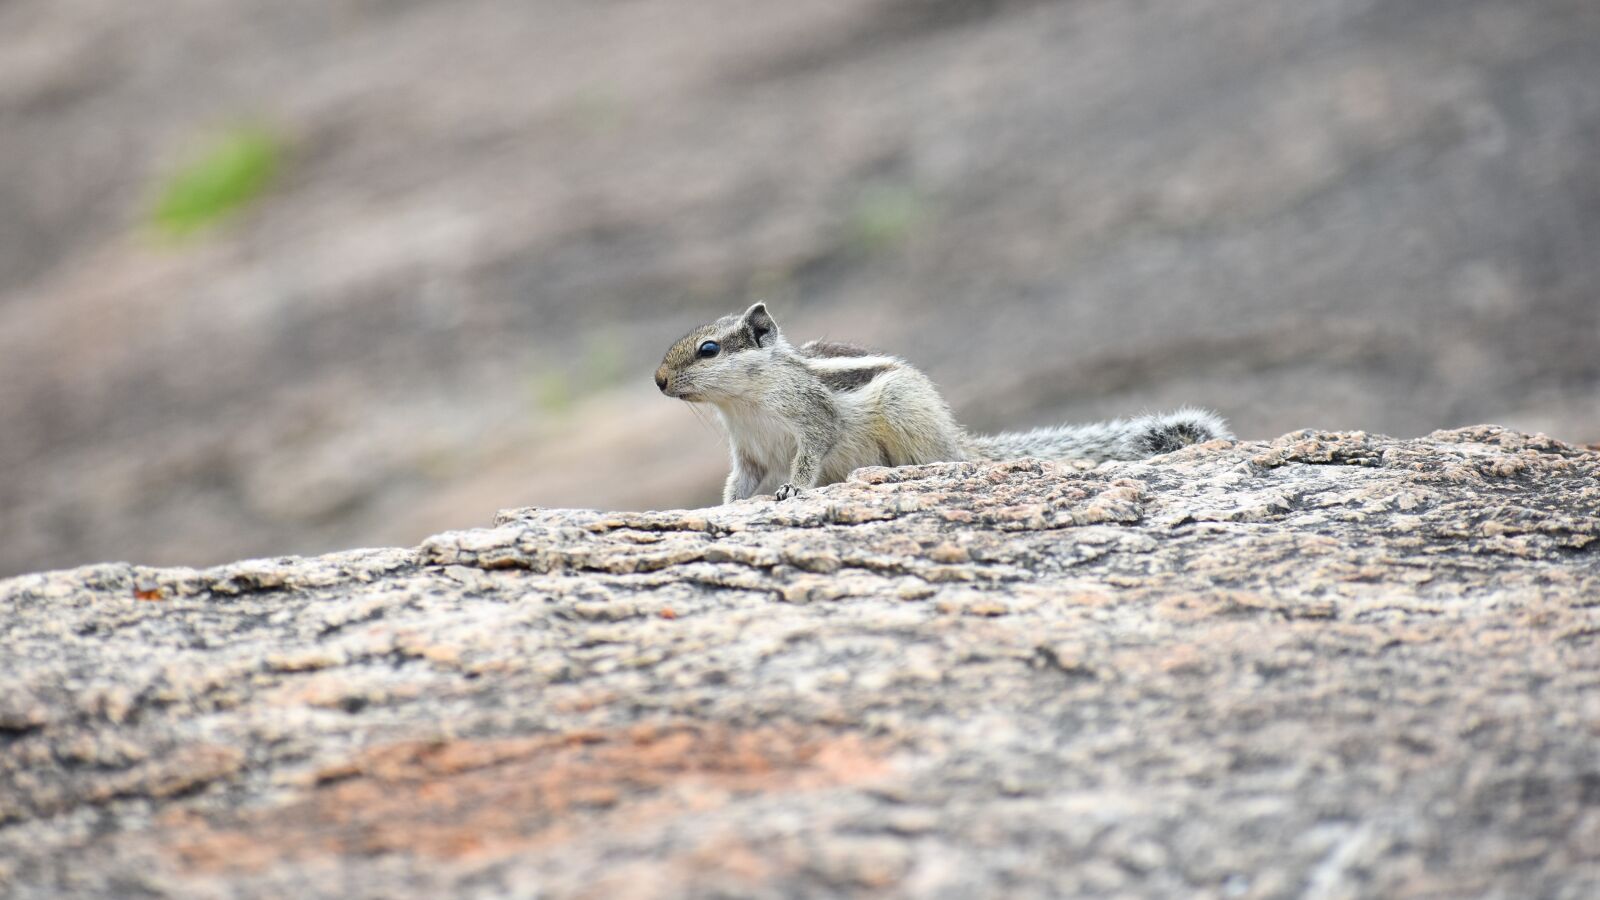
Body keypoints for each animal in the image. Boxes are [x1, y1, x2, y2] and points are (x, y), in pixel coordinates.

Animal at [655, 302, 1232, 502]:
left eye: (709, 349)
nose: (658, 381)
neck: (743, 402)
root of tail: (959, 441)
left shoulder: (811, 416)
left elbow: (811, 451)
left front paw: (793, 489)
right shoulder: (749, 452)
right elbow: (741, 481)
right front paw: (727, 506)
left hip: (904, 413)